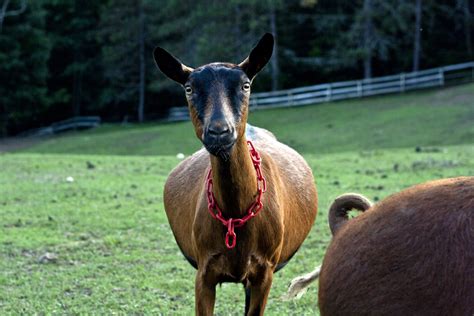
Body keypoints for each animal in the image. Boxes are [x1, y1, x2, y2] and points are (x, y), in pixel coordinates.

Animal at [154, 33, 316, 314]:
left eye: (245, 85)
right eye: (189, 88)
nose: (219, 132)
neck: (234, 214)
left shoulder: (264, 271)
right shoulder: (205, 271)